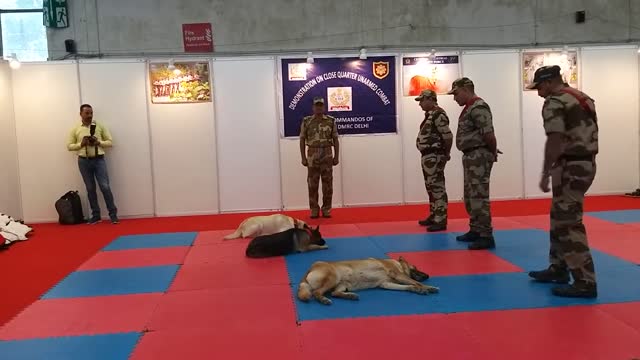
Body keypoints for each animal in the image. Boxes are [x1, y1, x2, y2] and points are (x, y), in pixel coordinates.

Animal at [296, 256, 438, 304]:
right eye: (416, 268)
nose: (428, 275)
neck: (397, 264)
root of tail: (310, 269)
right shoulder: (399, 275)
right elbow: (415, 282)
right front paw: (428, 287)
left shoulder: (386, 283)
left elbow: (409, 286)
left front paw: (418, 289)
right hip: (333, 278)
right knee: (317, 293)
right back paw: (324, 300)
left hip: (343, 284)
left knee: (335, 293)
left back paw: (350, 296)